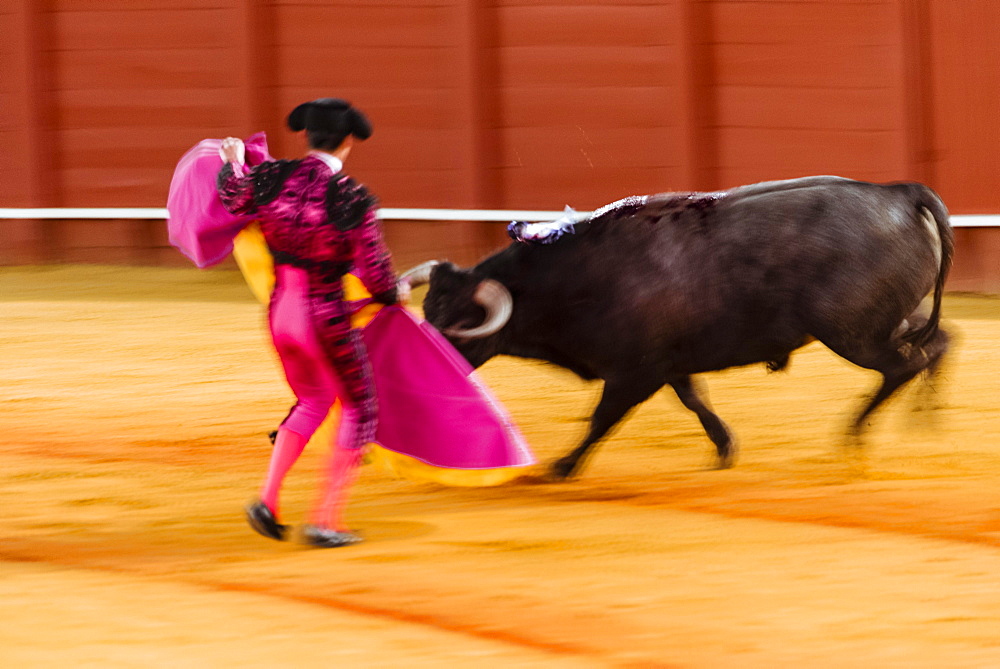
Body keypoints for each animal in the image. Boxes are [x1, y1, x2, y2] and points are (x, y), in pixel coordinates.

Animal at [404, 175, 952, 478]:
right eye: (428, 312)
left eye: (460, 323)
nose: (424, 370)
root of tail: (898, 194)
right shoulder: (667, 362)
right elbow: (694, 399)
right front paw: (725, 448)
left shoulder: (634, 372)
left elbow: (602, 418)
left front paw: (561, 467)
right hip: (894, 320)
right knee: (939, 343)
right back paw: (924, 425)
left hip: (854, 333)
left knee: (902, 366)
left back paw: (853, 440)